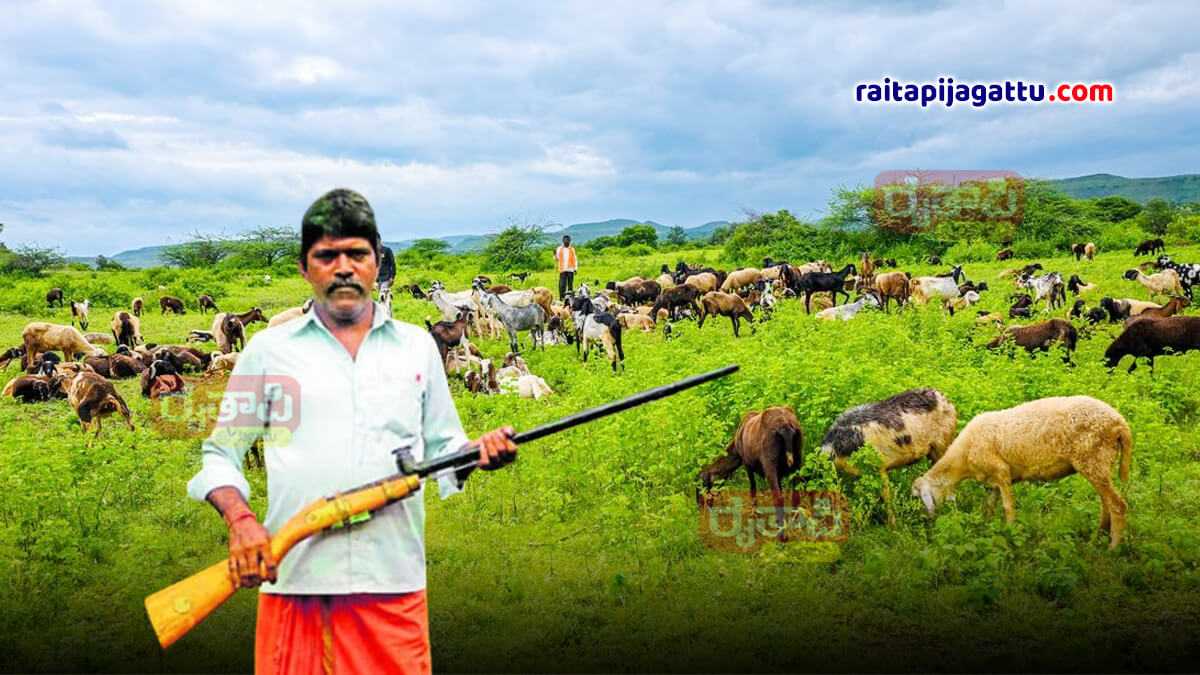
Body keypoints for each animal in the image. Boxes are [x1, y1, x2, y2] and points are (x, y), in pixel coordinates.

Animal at [696, 403, 806, 535]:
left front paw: (754, 513)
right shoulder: (778, 473)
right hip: (798, 458)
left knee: (778, 498)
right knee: (795, 495)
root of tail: (786, 427)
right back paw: (796, 524)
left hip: (769, 462)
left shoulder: (747, 463)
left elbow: (752, 488)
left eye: (701, 484)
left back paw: (781, 533)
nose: (699, 505)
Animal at [912, 393, 1128, 547]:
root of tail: (1120, 423)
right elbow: (988, 508)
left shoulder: (1001, 473)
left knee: (1117, 505)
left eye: (918, 497)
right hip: (1099, 464)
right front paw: (985, 531)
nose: (925, 521)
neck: (962, 459)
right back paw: (1098, 538)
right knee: (1106, 503)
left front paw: (1010, 533)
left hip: (1094, 460)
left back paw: (1113, 547)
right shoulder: (991, 482)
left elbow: (1008, 507)